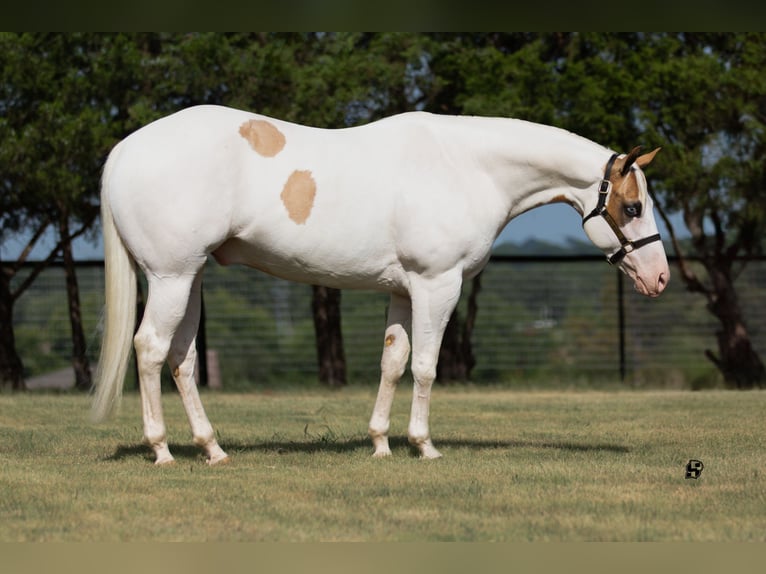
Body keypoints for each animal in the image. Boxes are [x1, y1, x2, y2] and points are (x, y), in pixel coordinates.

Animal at [90, 106, 668, 466]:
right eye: (632, 206)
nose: (660, 277)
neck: (465, 166)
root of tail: (125, 149)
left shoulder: (402, 290)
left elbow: (393, 362)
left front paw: (380, 444)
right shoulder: (438, 286)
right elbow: (425, 367)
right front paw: (423, 445)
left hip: (191, 278)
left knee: (181, 358)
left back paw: (212, 449)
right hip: (171, 276)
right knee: (150, 349)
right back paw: (162, 450)